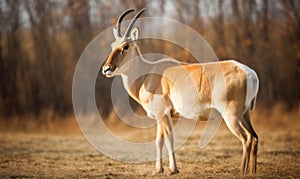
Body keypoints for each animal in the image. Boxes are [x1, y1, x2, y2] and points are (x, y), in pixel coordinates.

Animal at [102, 8, 258, 175]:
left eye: (125, 46)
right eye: (113, 45)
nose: (107, 68)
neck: (148, 74)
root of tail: (249, 73)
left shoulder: (163, 114)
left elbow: (169, 139)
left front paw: (173, 169)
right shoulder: (160, 116)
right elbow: (159, 140)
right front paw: (158, 169)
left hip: (231, 115)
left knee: (245, 138)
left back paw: (242, 172)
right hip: (245, 115)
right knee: (254, 137)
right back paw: (252, 172)